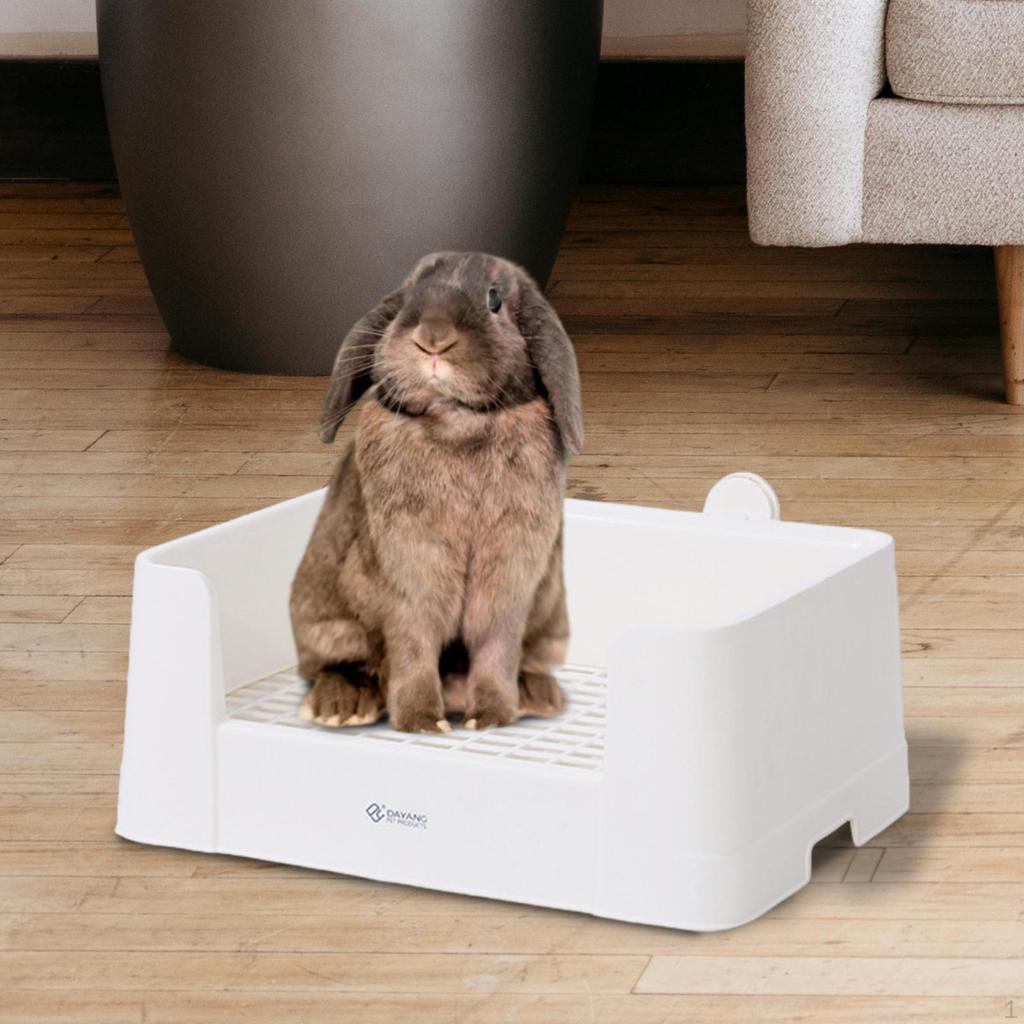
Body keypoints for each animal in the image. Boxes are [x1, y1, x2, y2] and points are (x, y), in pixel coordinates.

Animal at [290, 251, 583, 734]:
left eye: (494, 300)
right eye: (408, 298)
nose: (432, 339)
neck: (456, 424)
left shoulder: (510, 577)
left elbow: (496, 644)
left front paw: (491, 717)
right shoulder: (410, 570)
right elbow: (414, 642)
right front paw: (422, 722)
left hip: (550, 616)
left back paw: (535, 695)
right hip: (323, 619)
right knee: (337, 664)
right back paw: (341, 705)